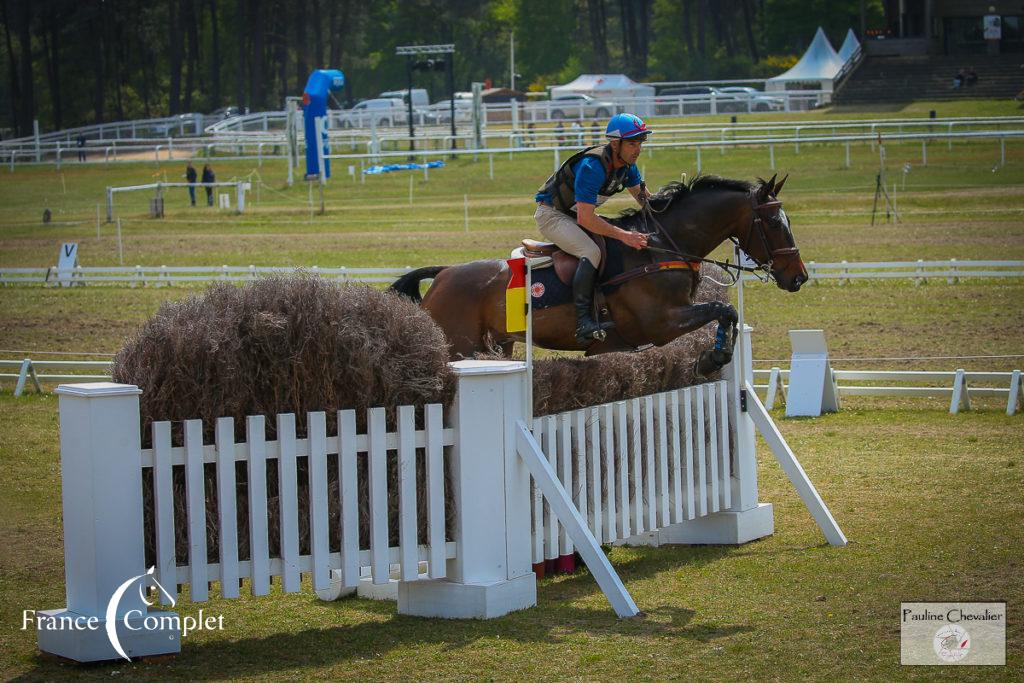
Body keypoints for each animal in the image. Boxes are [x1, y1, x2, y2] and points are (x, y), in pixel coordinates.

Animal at [389, 174, 806, 376]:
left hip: (497, 346)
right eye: (773, 222)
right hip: (460, 346)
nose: (798, 278)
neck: (659, 247)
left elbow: (727, 314)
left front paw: (714, 356)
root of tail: (444, 274)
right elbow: (723, 310)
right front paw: (712, 358)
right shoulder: (660, 323)